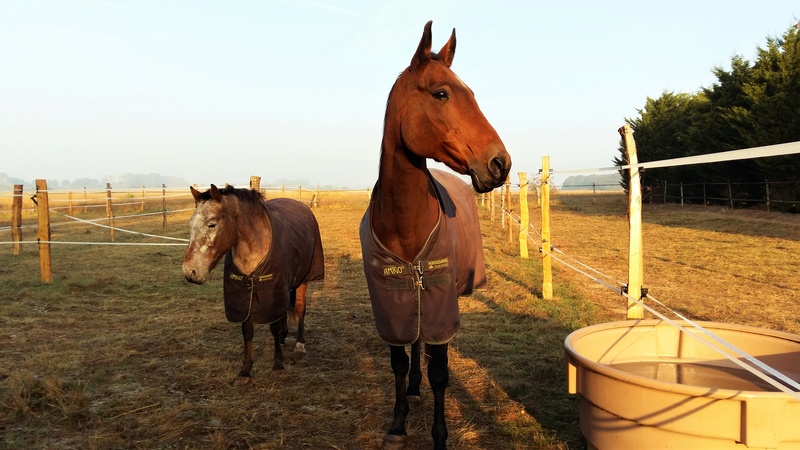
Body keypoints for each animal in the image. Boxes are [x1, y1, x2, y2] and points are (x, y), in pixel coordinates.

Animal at [183, 185, 324, 384]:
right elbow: (247, 331)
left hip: (303, 280)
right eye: (190, 224)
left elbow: (274, 328)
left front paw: (278, 367)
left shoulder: (272, 290)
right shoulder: (245, 295)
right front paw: (245, 371)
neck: (254, 246)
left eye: (212, 224)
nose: (190, 272)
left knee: (299, 308)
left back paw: (299, 346)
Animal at [360, 22, 510, 450]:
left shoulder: (441, 301)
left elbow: (440, 372)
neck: (404, 223)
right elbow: (398, 359)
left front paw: (439, 436)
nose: (500, 163)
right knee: (416, 341)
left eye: (471, 93)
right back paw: (413, 387)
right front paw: (398, 423)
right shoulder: (391, 302)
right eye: (441, 93)